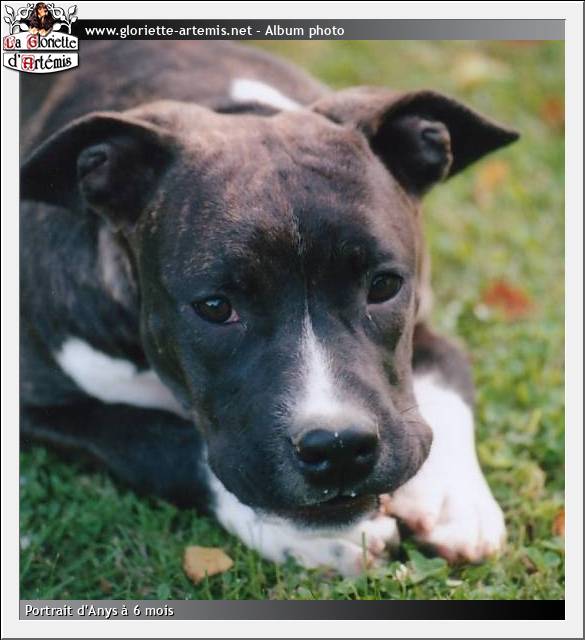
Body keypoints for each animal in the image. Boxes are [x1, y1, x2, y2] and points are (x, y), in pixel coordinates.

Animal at [20, 41, 518, 576]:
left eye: (384, 285)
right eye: (215, 308)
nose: (339, 447)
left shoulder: (423, 320)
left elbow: (446, 374)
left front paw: (452, 500)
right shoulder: (43, 405)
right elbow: (159, 441)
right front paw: (310, 535)